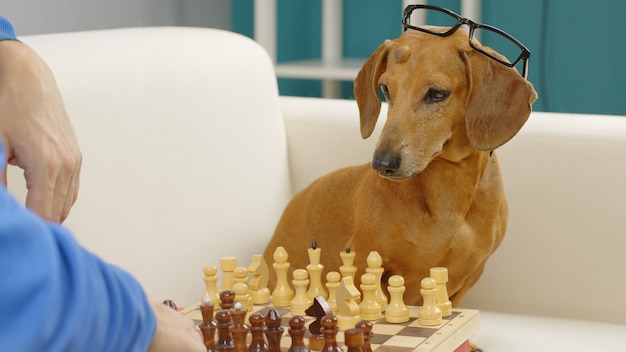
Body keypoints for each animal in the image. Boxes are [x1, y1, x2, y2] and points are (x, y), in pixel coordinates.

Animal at [264, 28, 536, 306]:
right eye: (385, 89)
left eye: (437, 93)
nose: (382, 164)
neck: (449, 195)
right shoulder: (361, 263)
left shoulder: (466, 281)